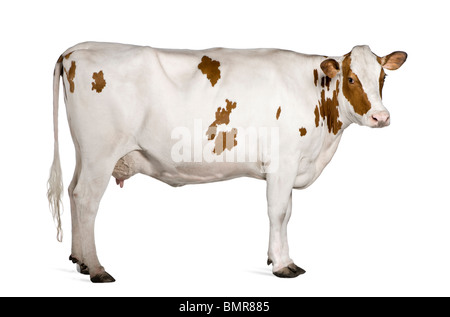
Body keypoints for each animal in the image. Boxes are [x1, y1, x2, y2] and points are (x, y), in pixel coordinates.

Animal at [47, 42, 406, 282]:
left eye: (382, 79)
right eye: (351, 79)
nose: (381, 117)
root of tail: (78, 49)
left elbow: (286, 213)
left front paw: (276, 258)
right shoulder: (283, 162)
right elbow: (279, 213)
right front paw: (283, 265)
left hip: (85, 152)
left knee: (73, 191)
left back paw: (79, 260)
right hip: (101, 151)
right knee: (86, 199)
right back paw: (96, 269)